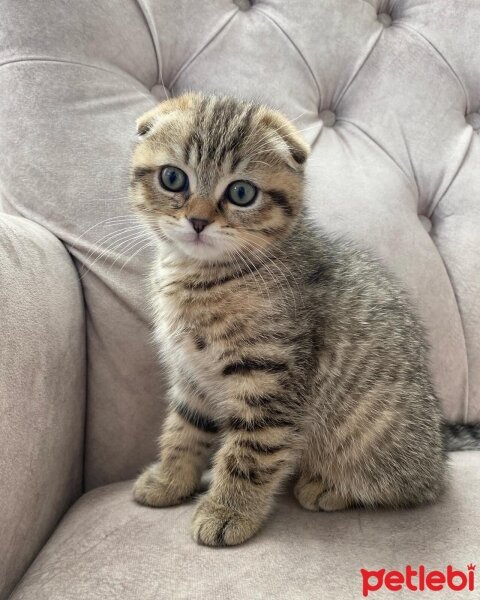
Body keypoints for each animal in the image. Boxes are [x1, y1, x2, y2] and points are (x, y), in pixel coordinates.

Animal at [128, 91, 446, 548]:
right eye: (173, 179)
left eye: (241, 192)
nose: (198, 220)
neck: (201, 276)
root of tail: (438, 449)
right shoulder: (190, 374)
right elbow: (184, 428)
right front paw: (170, 480)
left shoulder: (270, 376)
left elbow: (250, 452)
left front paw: (227, 512)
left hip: (375, 433)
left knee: (412, 487)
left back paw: (330, 487)